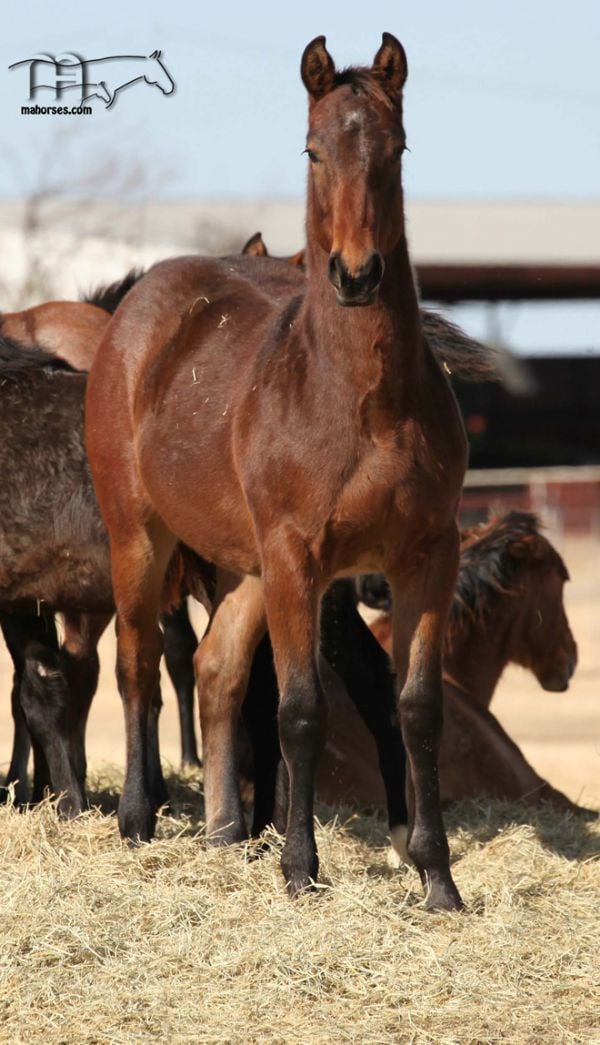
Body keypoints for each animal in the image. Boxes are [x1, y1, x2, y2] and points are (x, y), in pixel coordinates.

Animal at [85, 36, 470, 911]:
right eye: (313, 149)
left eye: (397, 150)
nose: (357, 274)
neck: (364, 402)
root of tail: (138, 308)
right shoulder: (300, 558)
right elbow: (300, 710)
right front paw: (301, 868)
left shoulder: (426, 555)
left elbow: (417, 709)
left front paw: (436, 877)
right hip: (140, 539)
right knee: (139, 666)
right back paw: (137, 818)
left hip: (246, 566)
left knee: (218, 672)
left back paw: (228, 833)